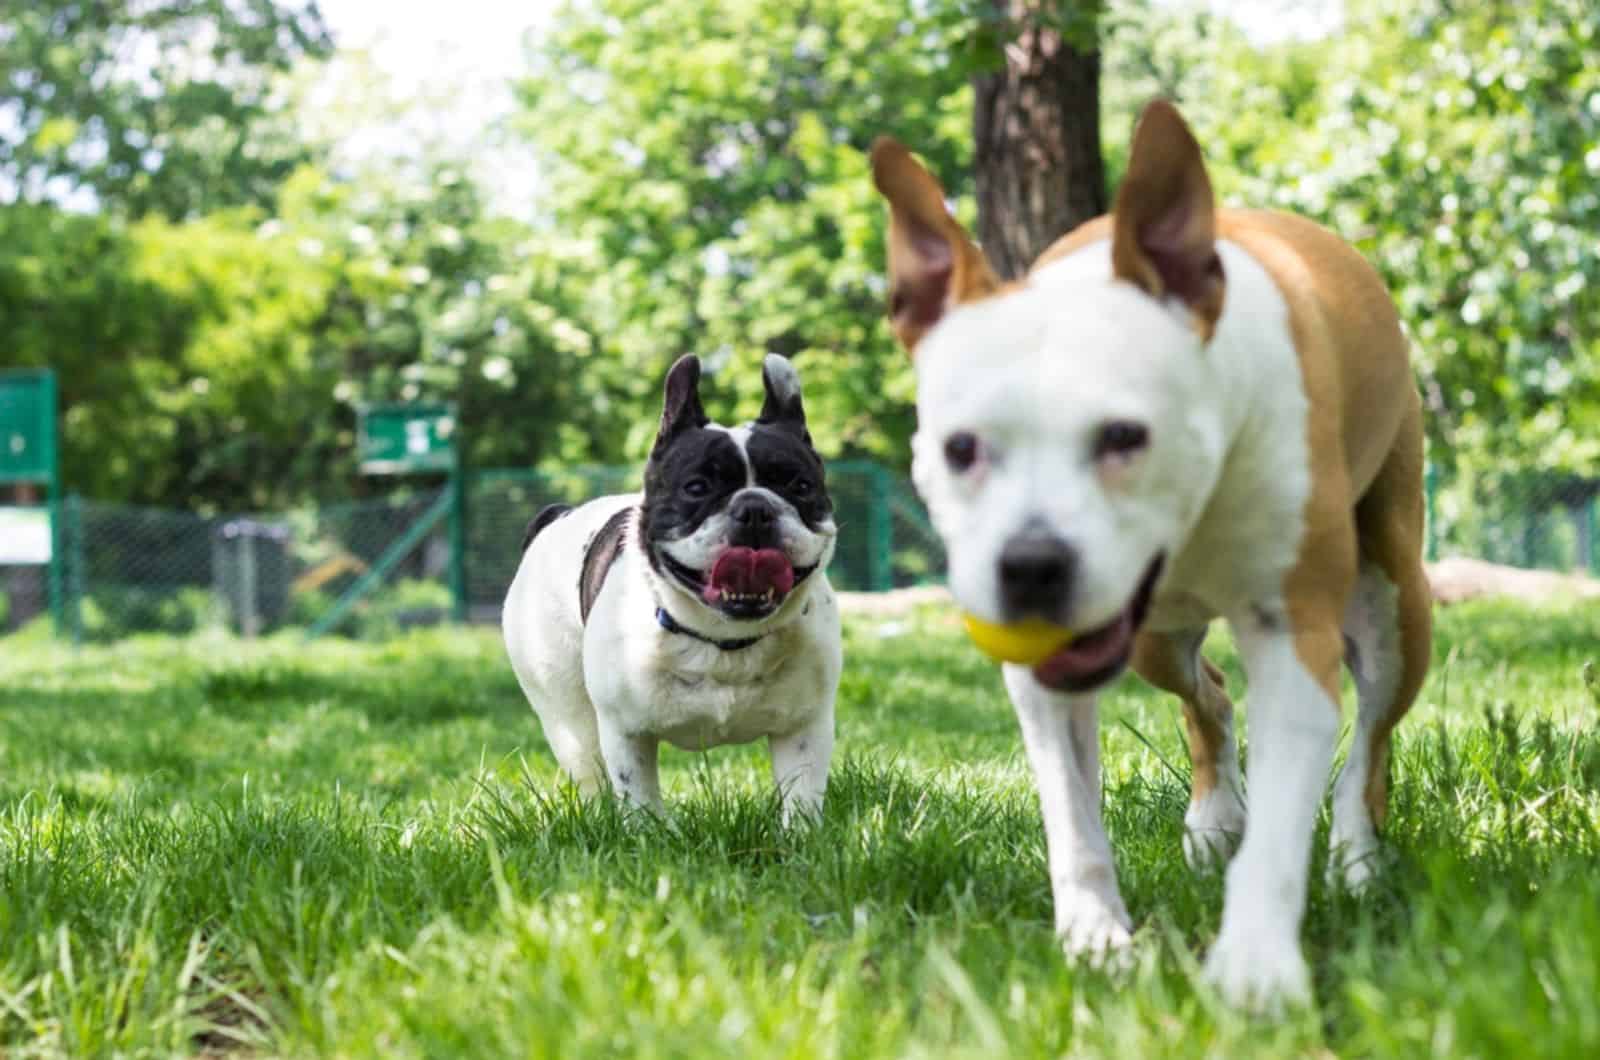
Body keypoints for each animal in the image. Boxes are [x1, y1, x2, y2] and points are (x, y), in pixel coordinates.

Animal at [876, 101, 1440, 1011]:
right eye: (960, 448)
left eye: (1124, 435)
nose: (1031, 565)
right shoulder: (1050, 675)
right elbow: (1073, 817)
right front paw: (1097, 944)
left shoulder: (1296, 636)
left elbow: (1286, 816)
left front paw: (1255, 970)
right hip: (1153, 642)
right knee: (1206, 693)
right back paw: (1215, 821)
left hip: (1397, 603)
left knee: (1371, 745)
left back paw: (1358, 862)